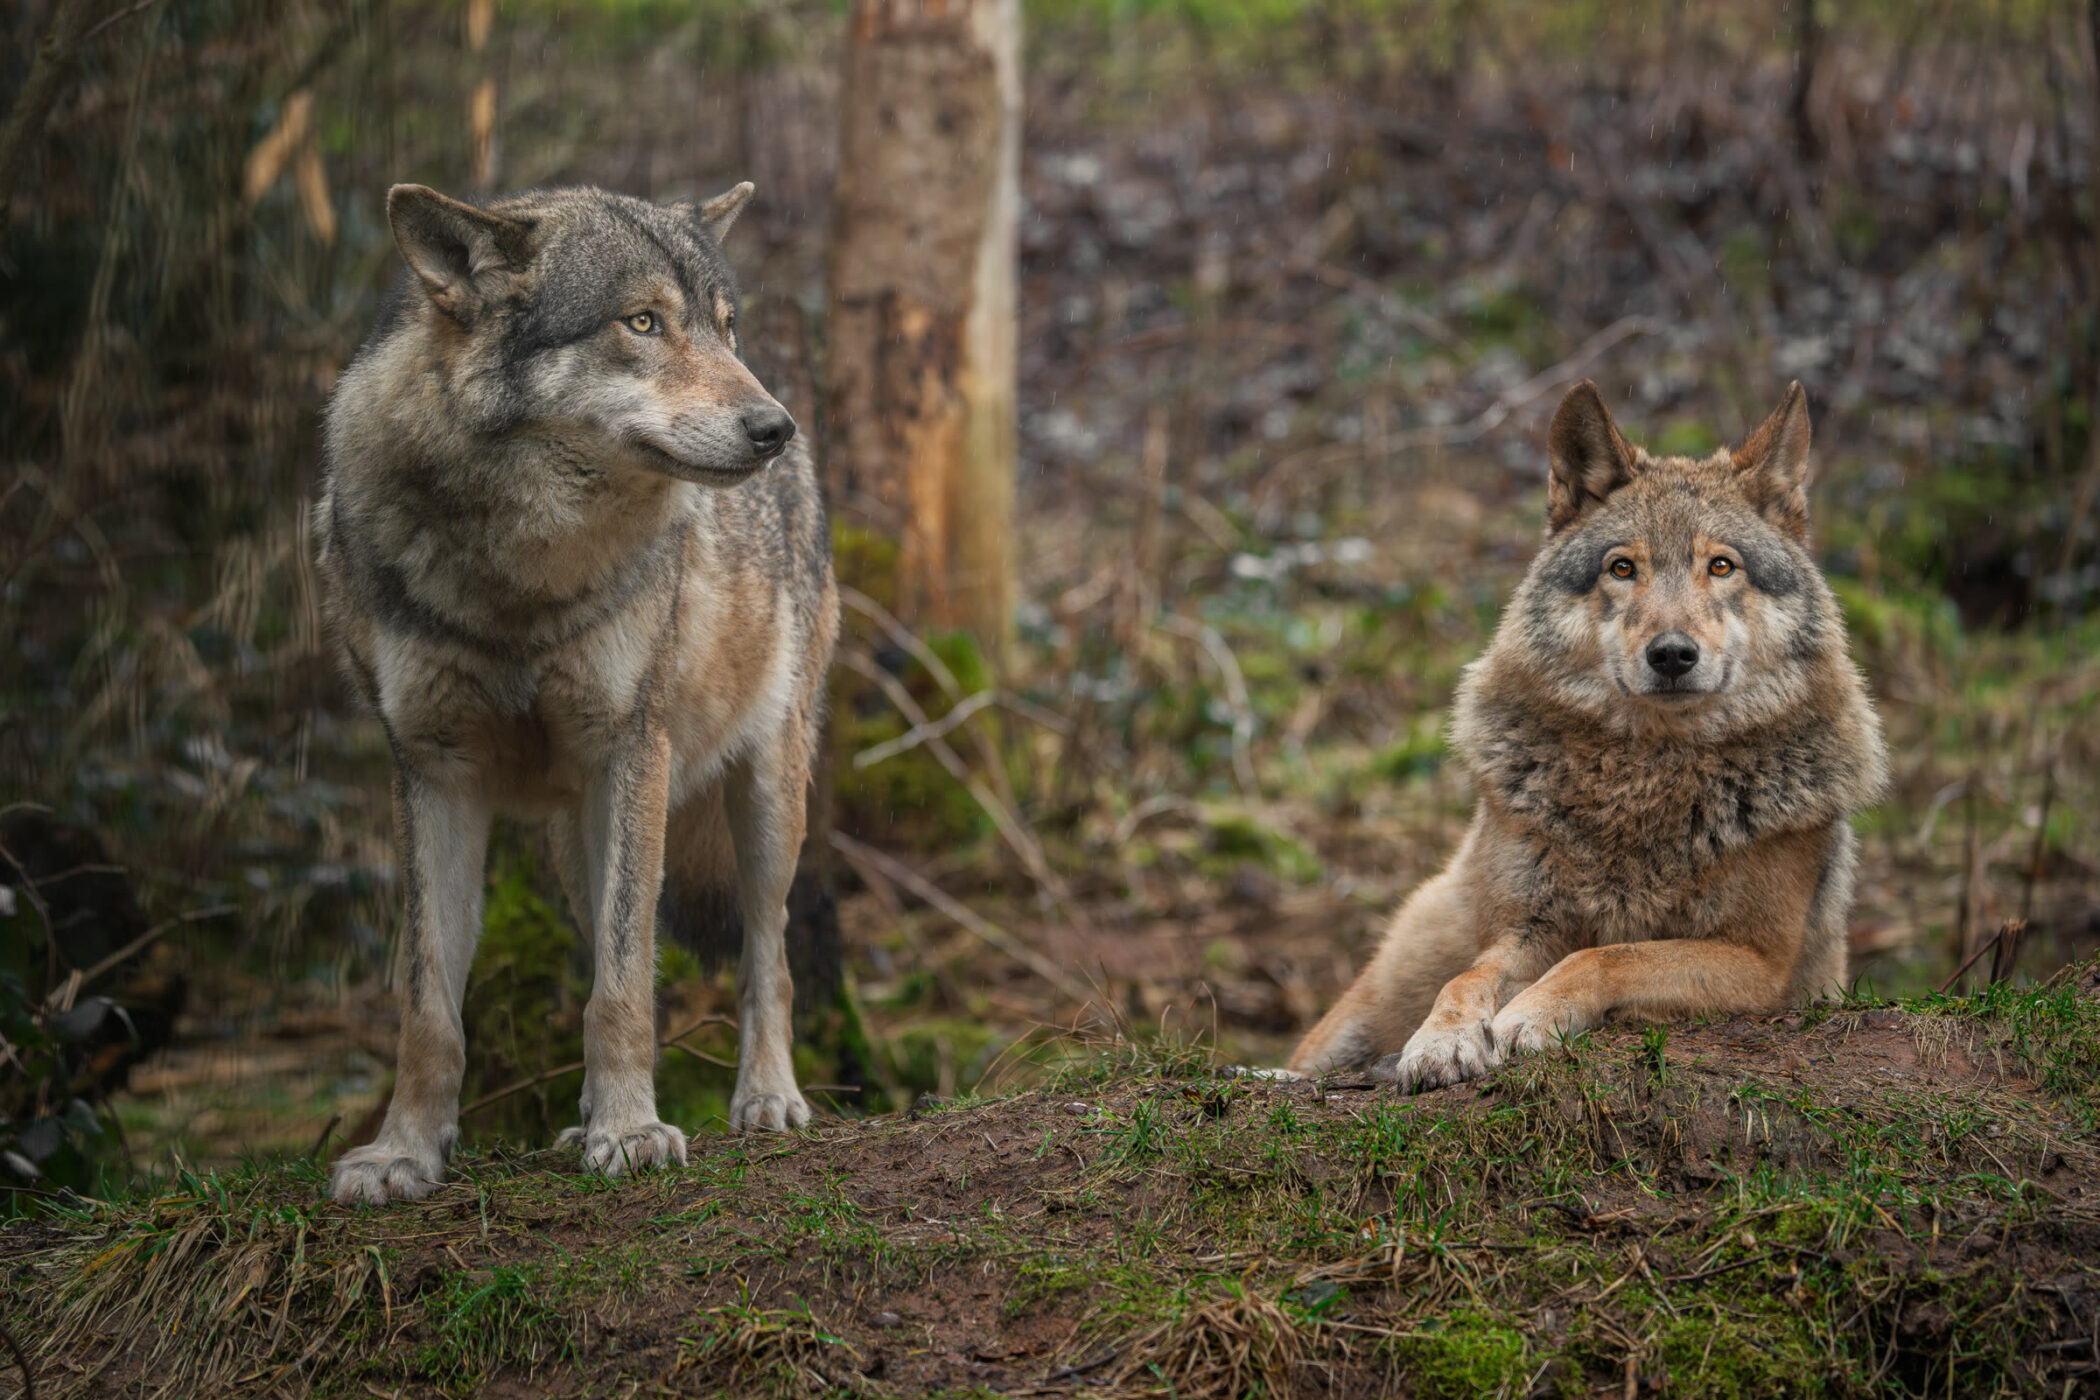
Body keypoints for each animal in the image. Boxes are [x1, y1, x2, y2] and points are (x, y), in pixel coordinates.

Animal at [315, 181, 837, 1204]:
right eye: (642, 322)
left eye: (725, 326)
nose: (773, 427)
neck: (521, 568)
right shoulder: (432, 771)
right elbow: (428, 1007)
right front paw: (403, 1151)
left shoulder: (632, 748)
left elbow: (627, 985)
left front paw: (631, 1133)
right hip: (575, 836)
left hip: (762, 799)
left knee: (769, 955)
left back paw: (767, 1100)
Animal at [1288, 380, 1886, 1086]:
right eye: (1622, 569)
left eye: (1721, 566)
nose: (1672, 654)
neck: (1646, 778)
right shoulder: (1528, 927)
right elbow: (1469, 978)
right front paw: (1443, 1037)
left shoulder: (1760, 962)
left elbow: (1611, 955)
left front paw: (1531, 1014)